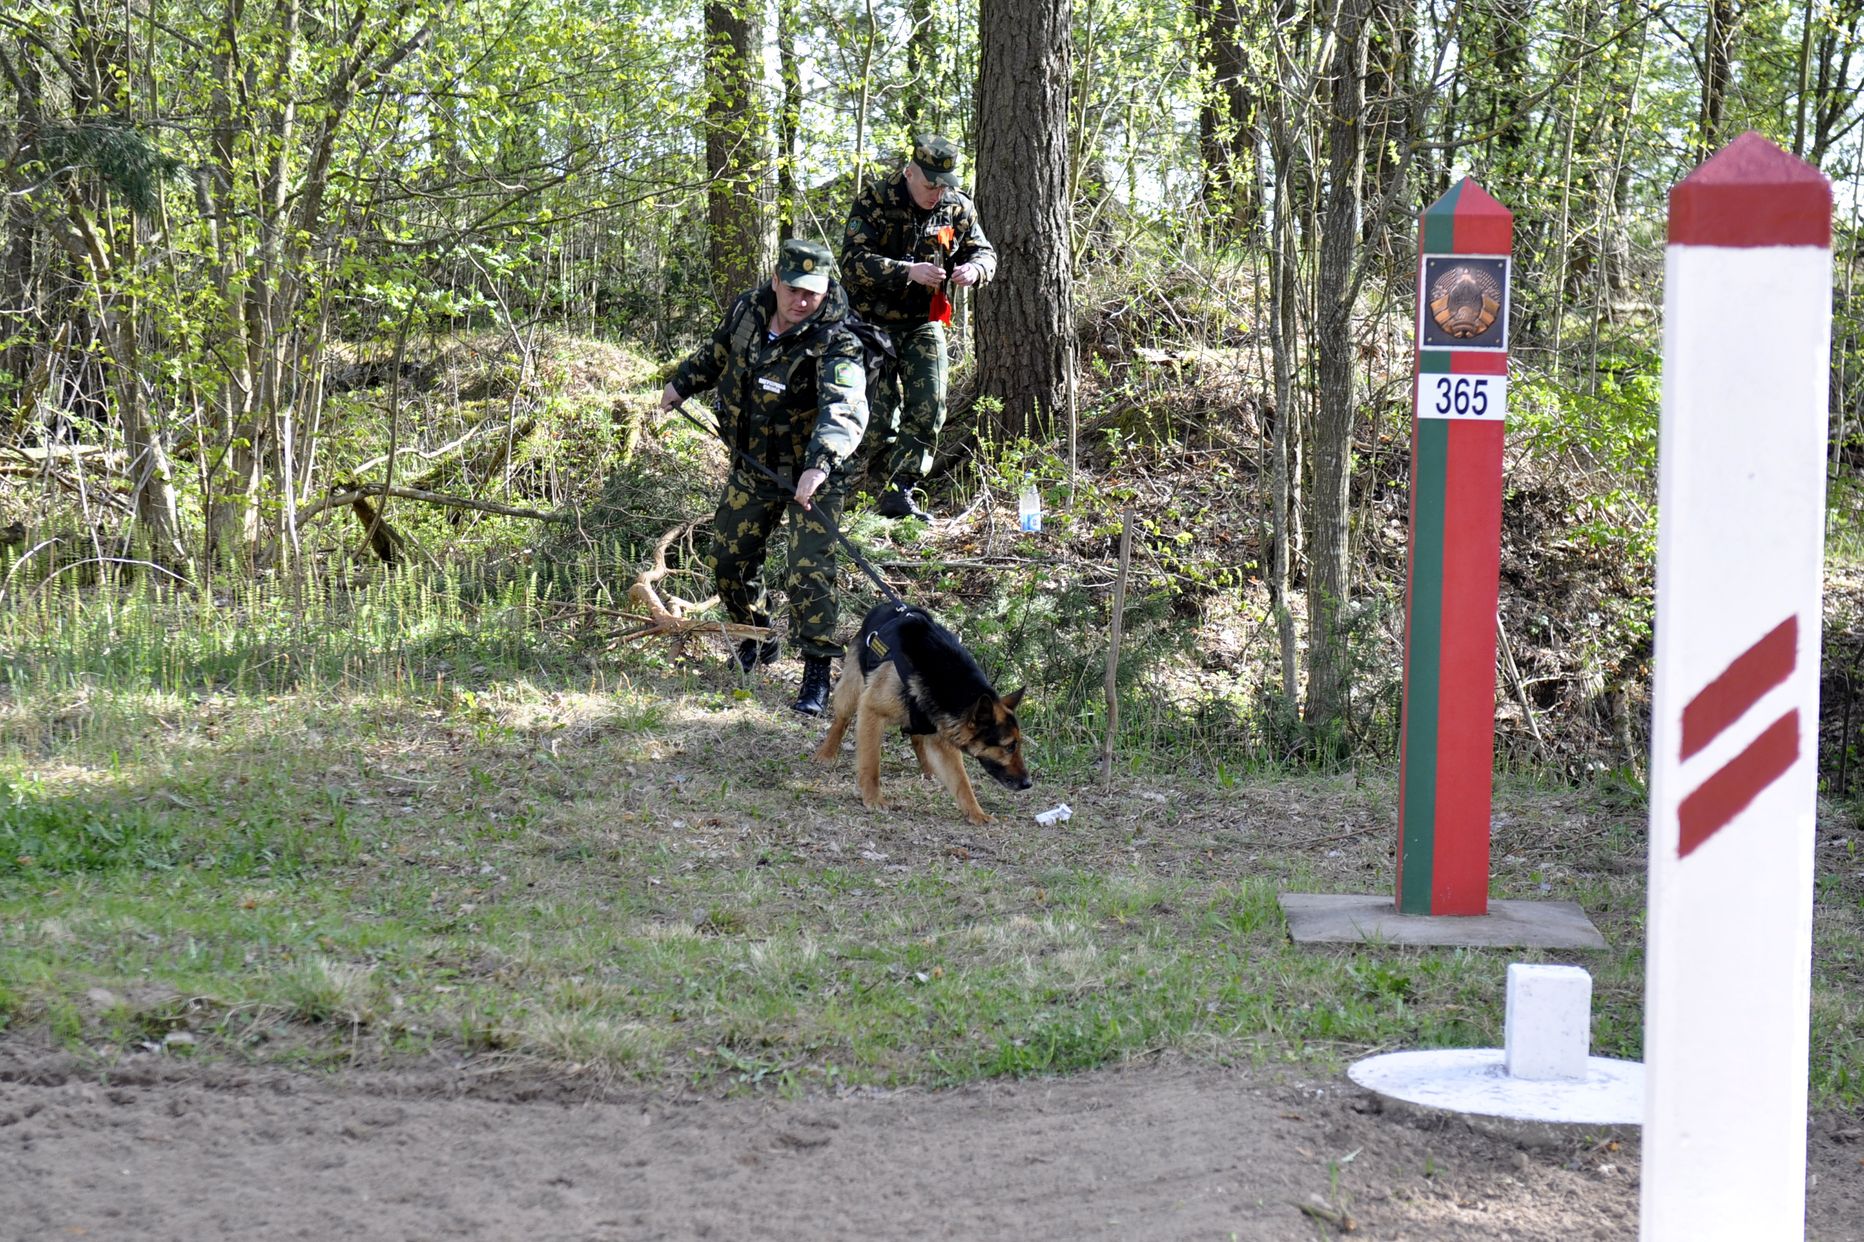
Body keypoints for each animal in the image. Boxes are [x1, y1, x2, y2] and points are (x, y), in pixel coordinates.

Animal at [816, 600, 1036, 820]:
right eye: (1010, 746)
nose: (1028, 784)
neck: (948, 684)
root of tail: (884, 605)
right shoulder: (872, 712)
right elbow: (871, 764)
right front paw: (873, 798)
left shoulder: (943, 737)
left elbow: (962, 782)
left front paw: (976, 813)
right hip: (852, 692)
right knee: (841, 720)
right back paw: (826, 754)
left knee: (917, 738)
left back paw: (929, 770)